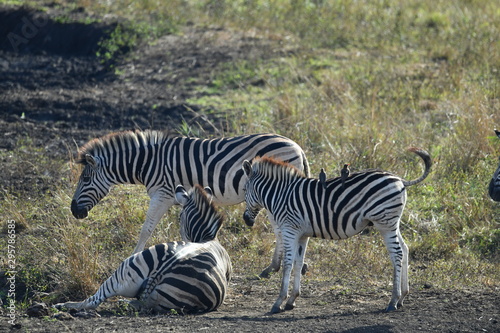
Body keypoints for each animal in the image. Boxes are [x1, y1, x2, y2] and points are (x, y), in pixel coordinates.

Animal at [55, 184, 231, 314]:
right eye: (180, 218)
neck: (207, 238)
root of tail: (160, 272)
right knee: (141, 304)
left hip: (124, 271)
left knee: (93, 300)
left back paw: (63, 306)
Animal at [70, 128, 308, 253]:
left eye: (85, 179)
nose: (74, 211)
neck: (148, 162)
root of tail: (297, 146)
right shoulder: (180, 197)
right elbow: (183, 228)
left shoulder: (162, 195)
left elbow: (146, 229)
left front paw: (134, 256)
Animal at [241, 147, 430, 312]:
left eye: (244, 190)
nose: (246, 220)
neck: (281, 194)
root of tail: (400, 180)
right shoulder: (302, 234)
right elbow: (298, 263)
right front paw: (292, 299)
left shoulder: (289, 230)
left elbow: (287, 264)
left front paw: (279, 301)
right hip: (392, 223)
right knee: (404, 249)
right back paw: (403, 297)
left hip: (385, 222)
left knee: (397, 253)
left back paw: (393, 301)